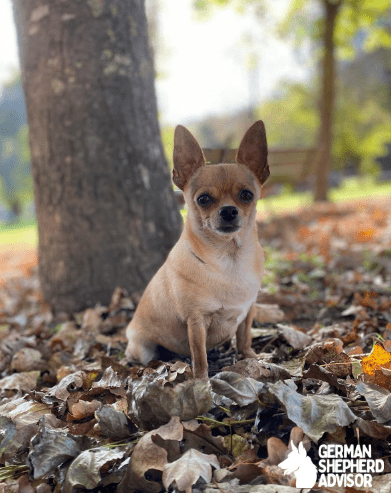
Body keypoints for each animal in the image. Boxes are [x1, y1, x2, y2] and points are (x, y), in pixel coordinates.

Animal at [125, 121, 270, 378]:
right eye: (203, 199)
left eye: (247, 195)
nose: (228, 210)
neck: (229, 259)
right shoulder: (196, 321)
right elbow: (199, 354)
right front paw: (201, 380)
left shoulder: (248, 311)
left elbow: (244, 338)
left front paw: (251, 358)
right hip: (143, 347)